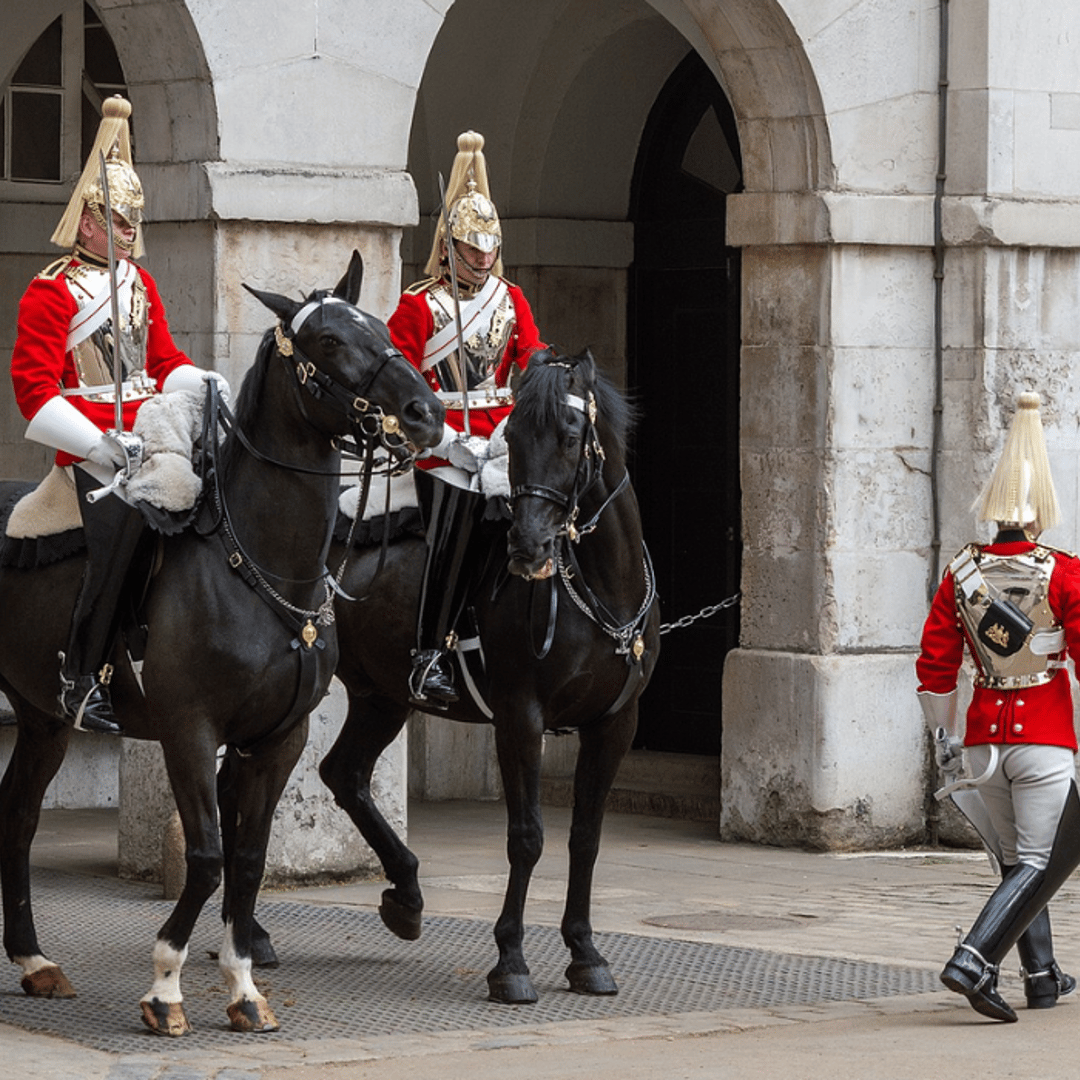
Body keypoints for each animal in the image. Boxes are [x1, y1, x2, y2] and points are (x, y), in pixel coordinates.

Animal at [0, 252, 444, 1035]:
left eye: (382, 327)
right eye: (329, 341)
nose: (427, 414)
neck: (261, 562)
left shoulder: (278, 737)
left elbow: (248, 858)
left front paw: (242, 988)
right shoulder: (188, 727)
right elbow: (207, 855)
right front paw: (165, 987)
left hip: (44, 717)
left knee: (17, 818)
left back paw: (34, 961)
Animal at [318, 347, 660, 1004]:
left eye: (571, 436)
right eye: (513, 438)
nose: (526, 548)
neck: (599, 586)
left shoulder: (616, 723)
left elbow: (586, 835)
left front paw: (585, 953)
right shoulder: (519, 715)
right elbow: (526, 836)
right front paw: (511, 961)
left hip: (381, 696)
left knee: (342, 774)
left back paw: (406, 898)